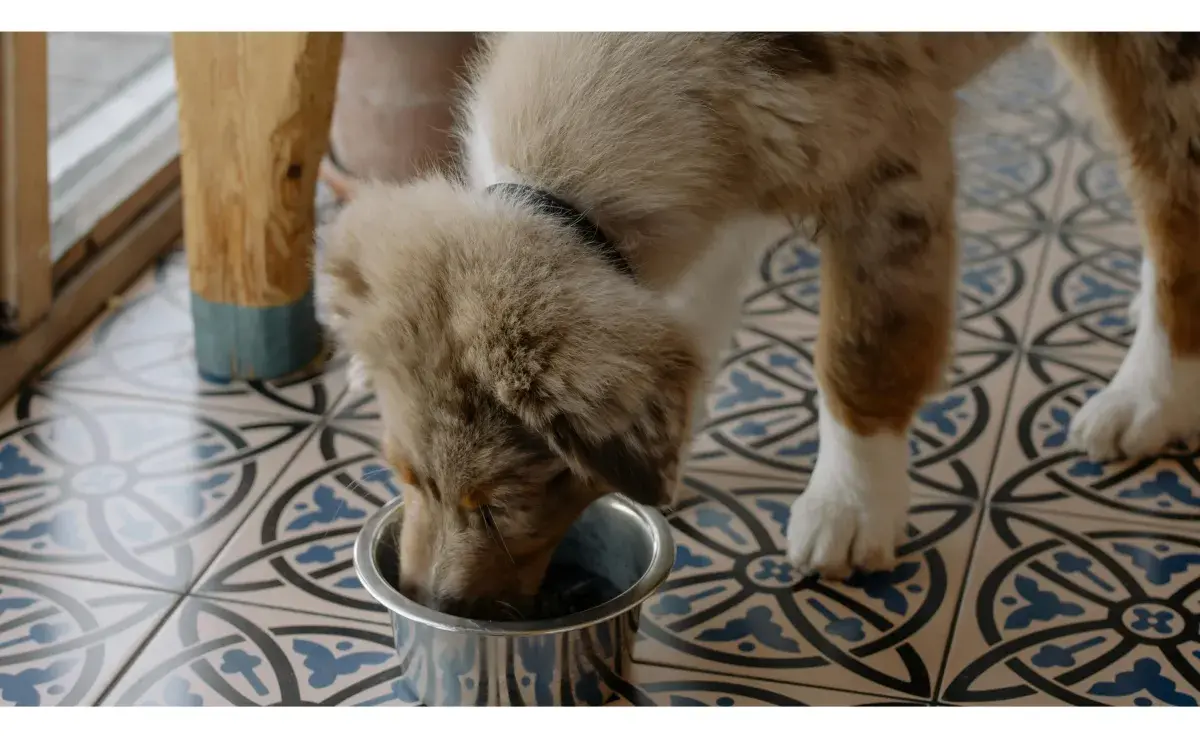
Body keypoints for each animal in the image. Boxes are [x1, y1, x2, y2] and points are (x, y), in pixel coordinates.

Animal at [316, 31, 1200, 614]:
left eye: (498, 506)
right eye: (402, 475)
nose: (426, 599)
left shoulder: (889, 160)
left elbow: (861, 350)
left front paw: (850, 507)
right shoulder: (735, 162)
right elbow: (691, 314)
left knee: (1171, 198)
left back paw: (1151, 396)